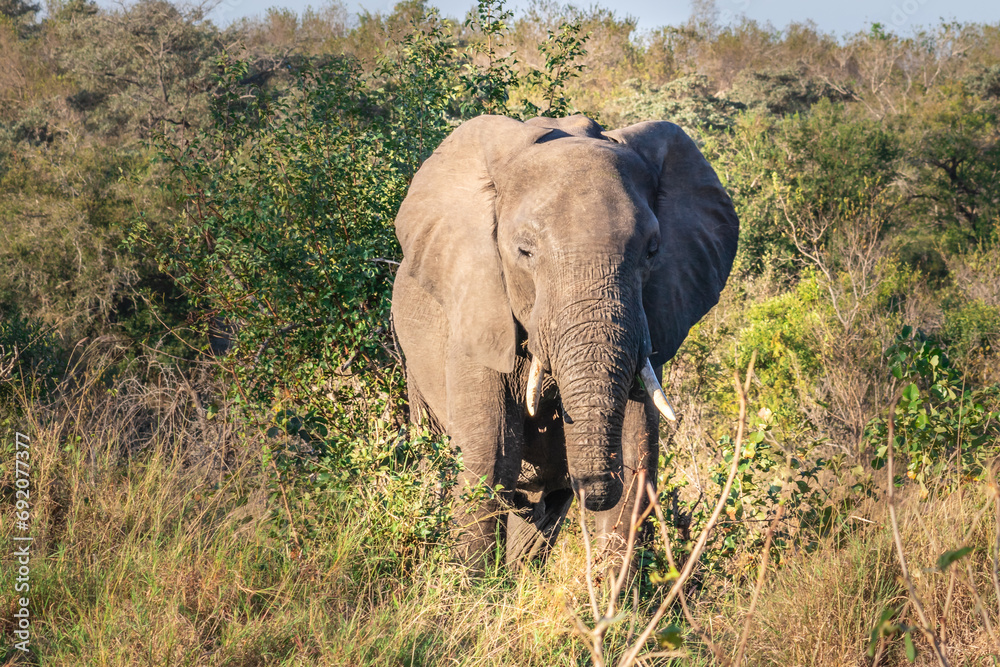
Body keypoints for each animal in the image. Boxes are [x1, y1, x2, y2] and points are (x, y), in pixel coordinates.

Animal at [390, 114, 739, 568]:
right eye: (524, 251)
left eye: (652, 251)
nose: (591, 488)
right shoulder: (476, 314)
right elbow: (490, 459)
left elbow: (637, 458)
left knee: (540, 516)